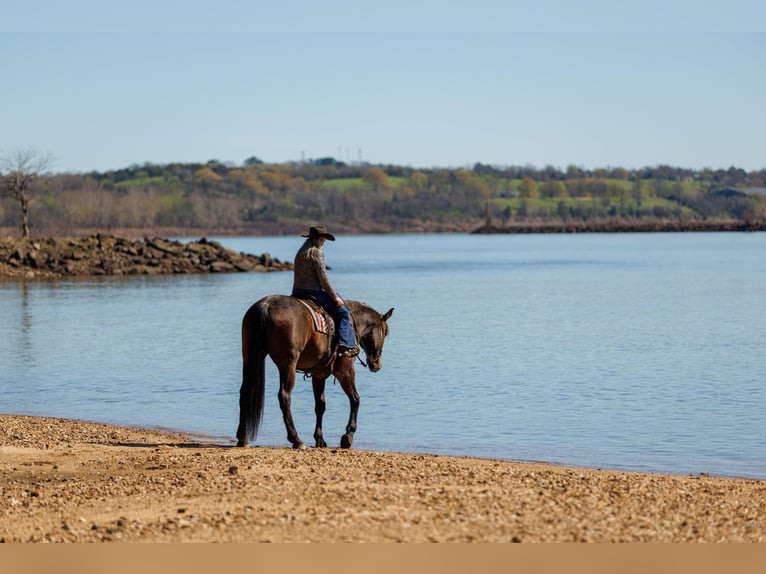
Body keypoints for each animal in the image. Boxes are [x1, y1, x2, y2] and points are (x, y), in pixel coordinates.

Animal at [236, 294, 394, 450]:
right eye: (385, 333)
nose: (377, 364)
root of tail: (266, 305)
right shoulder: (346, 371)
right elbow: (355, 399)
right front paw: (348, 436)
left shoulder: (319, 375)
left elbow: (320, 406)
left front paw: (320, 439)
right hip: (288, 365)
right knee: (284, 396)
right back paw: (296, 439)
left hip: (249, 359)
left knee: (245, 393)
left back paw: (242, 438)